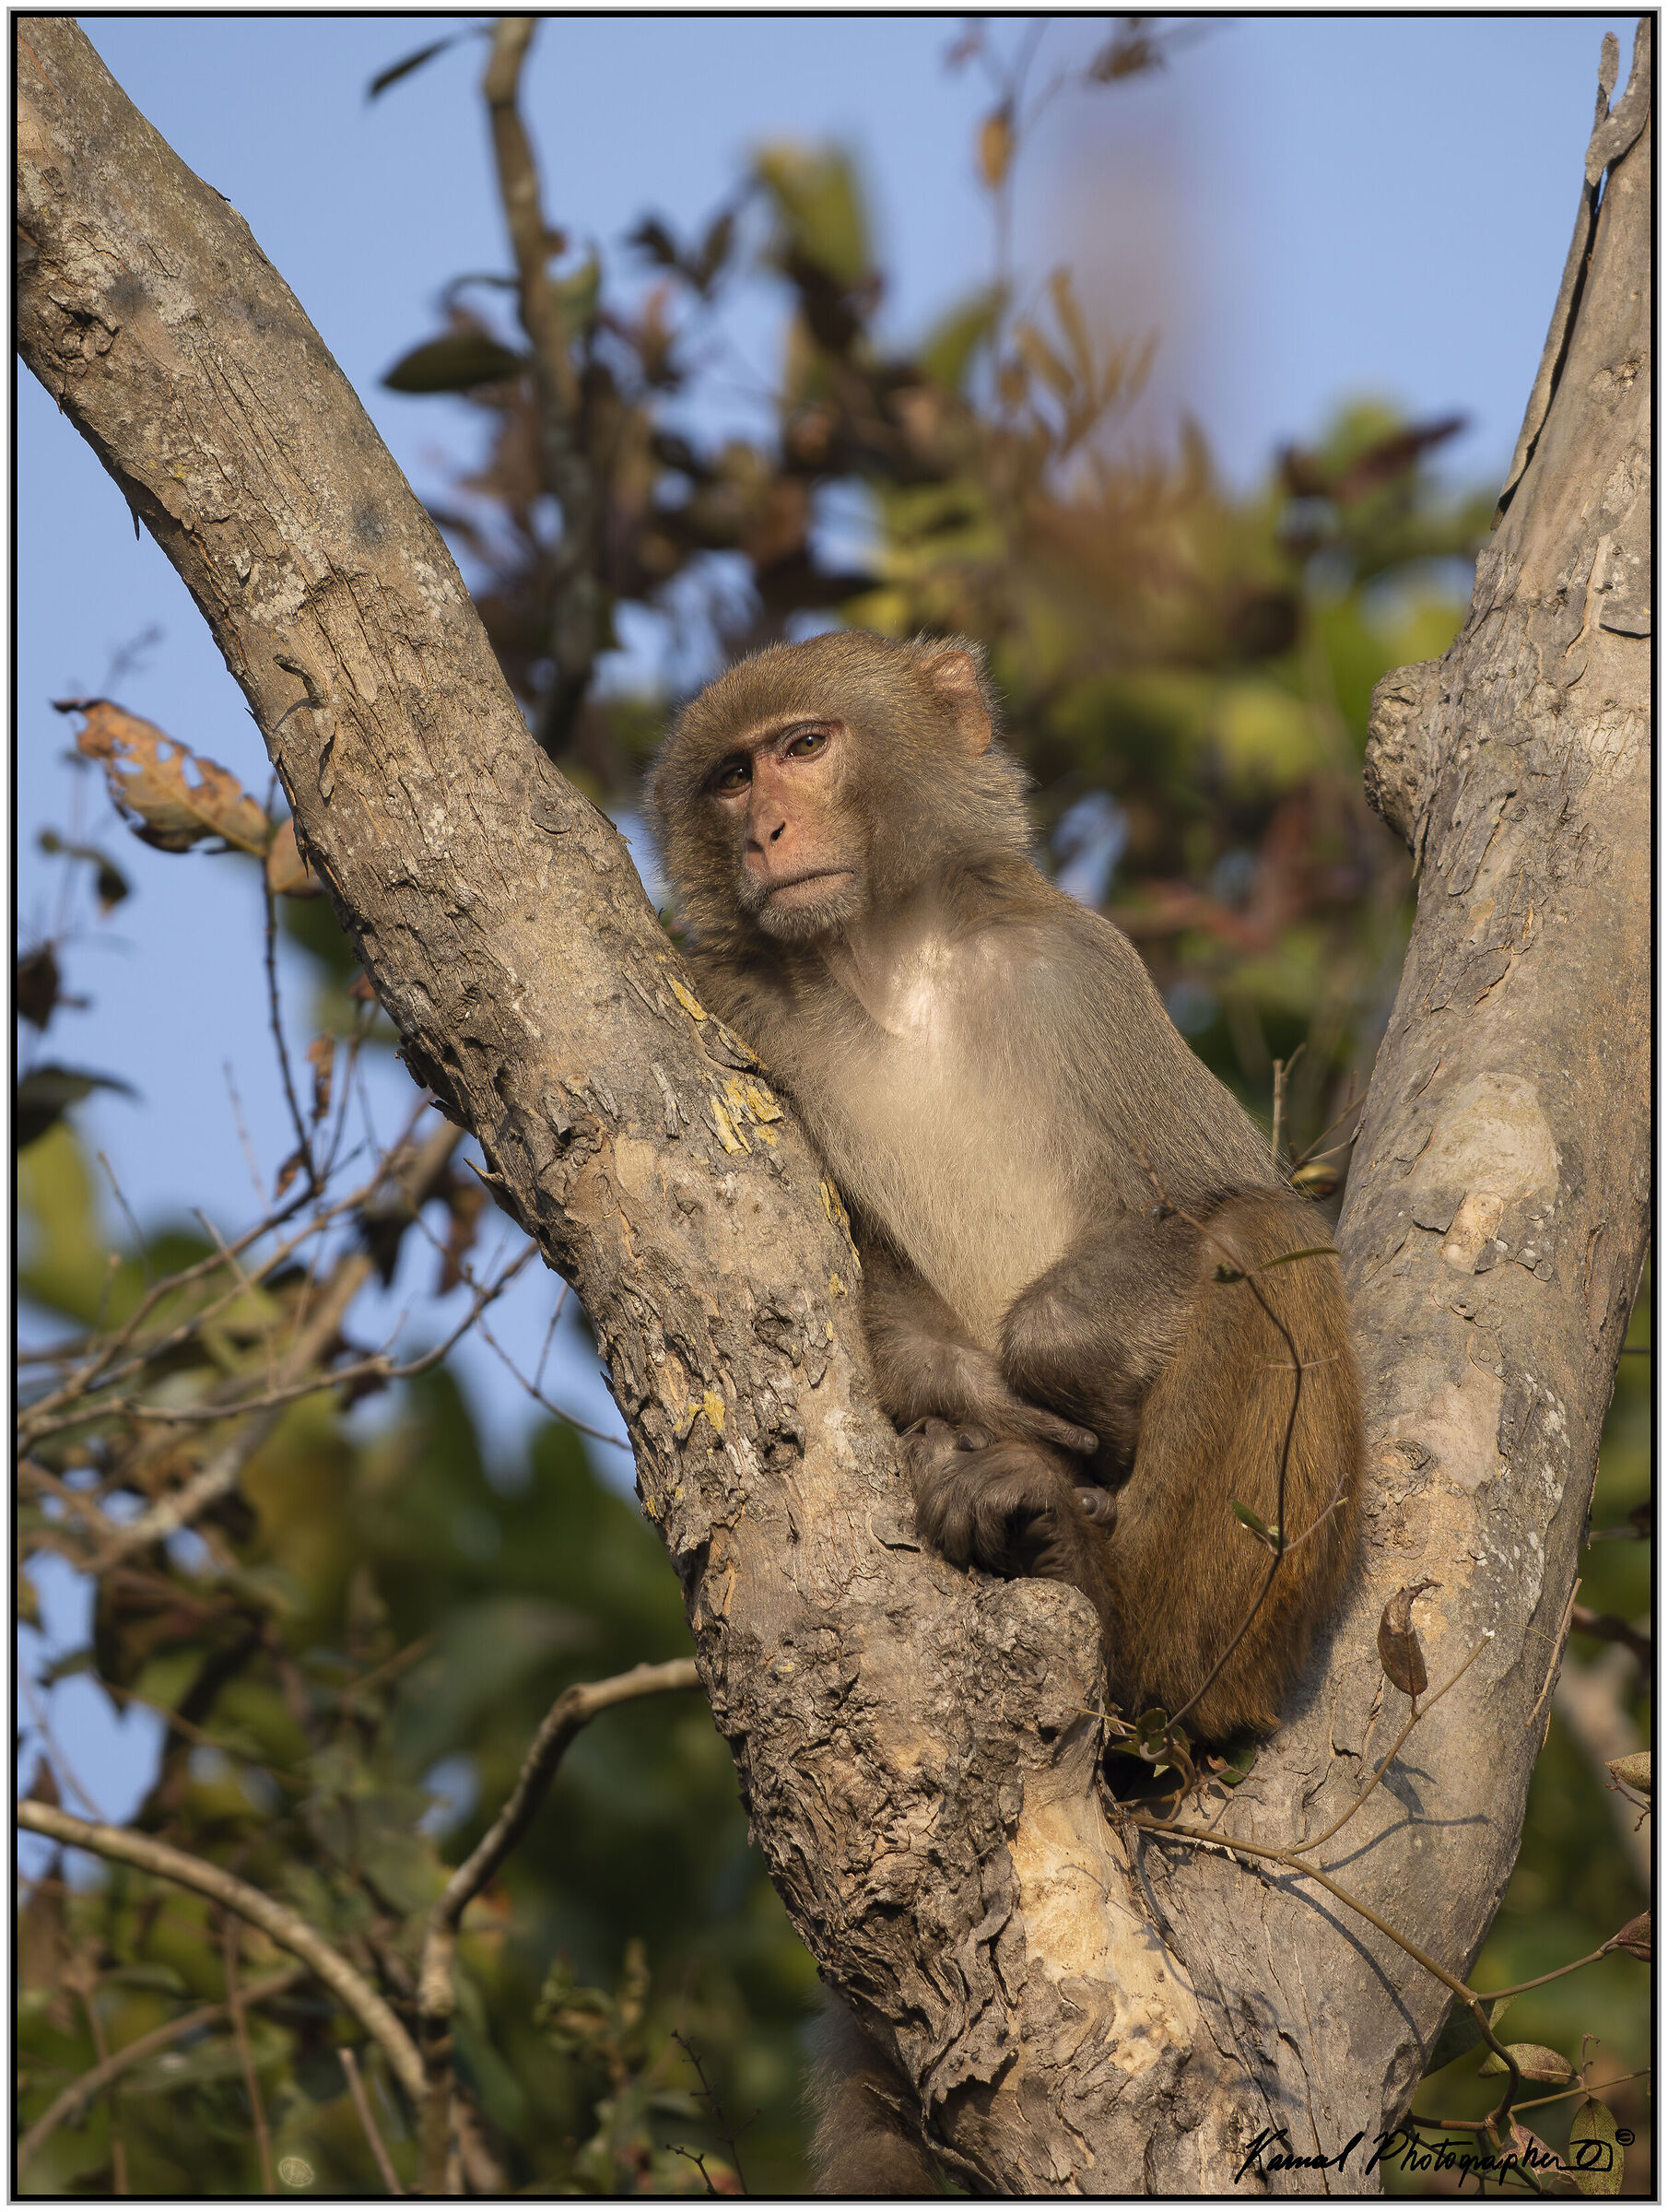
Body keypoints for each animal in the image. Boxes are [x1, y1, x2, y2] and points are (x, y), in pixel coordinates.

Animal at [647, 628, 1362, 2192]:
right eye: (727, 778)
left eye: (804, 749)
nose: (764, 832)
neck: (885, 959)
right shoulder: (731, 1002)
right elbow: (845, 1273)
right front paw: (956, 1418)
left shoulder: (1074, 967)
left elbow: (1218, 1197)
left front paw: (1035, 1392)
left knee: (1264, 1247)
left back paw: (1118, 1612)